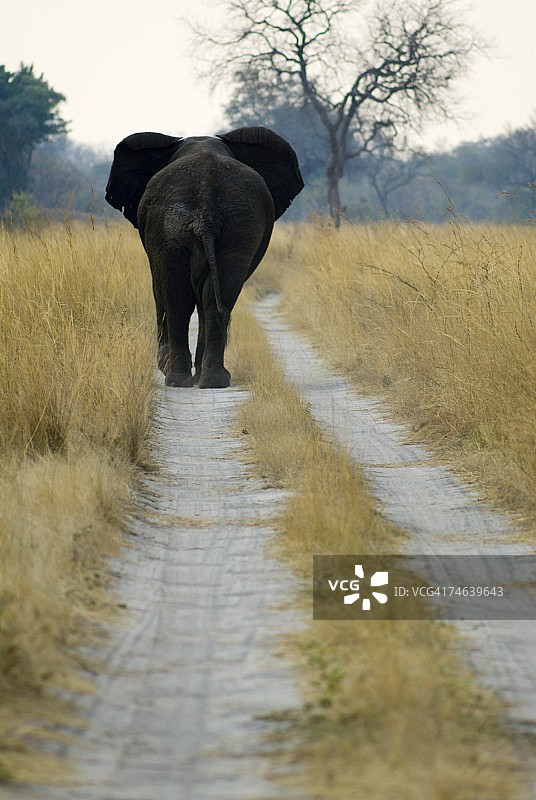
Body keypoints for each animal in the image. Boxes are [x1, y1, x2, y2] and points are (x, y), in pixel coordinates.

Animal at [105, 126, 304, 388]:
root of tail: (207, 205)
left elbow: (160, 288)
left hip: (184, 222)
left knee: (182, 296)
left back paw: (183, 379)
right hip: (230, 223)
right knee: (211, 294)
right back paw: (205, 380)